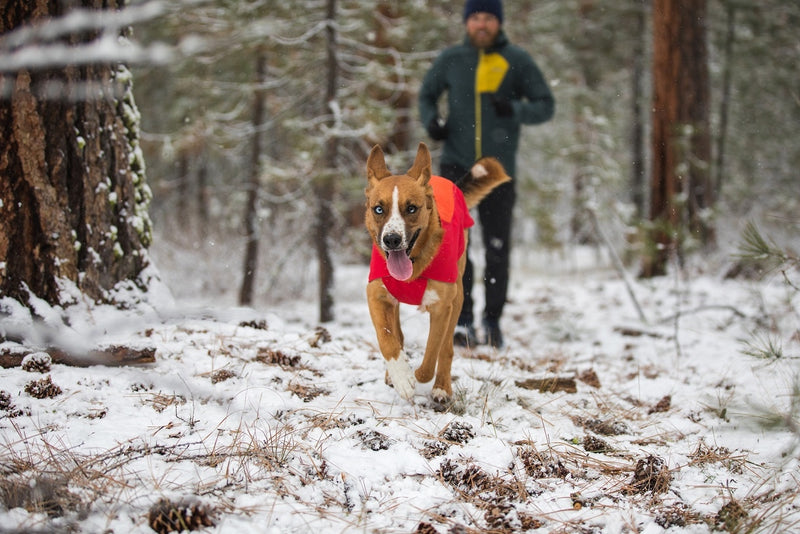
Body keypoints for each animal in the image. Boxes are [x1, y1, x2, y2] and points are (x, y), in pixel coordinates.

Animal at [364, 143, 510, 406]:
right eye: (378, 209)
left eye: (412, 208)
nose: (392, 240)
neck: (415, 264)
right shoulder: (377, 295)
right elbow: (387, 339)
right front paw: (401, 376)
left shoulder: (442, 306)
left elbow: (433, 350)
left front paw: (417, 376)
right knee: (399, 334)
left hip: (459, 296)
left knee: (447, 348)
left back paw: (442, 387)